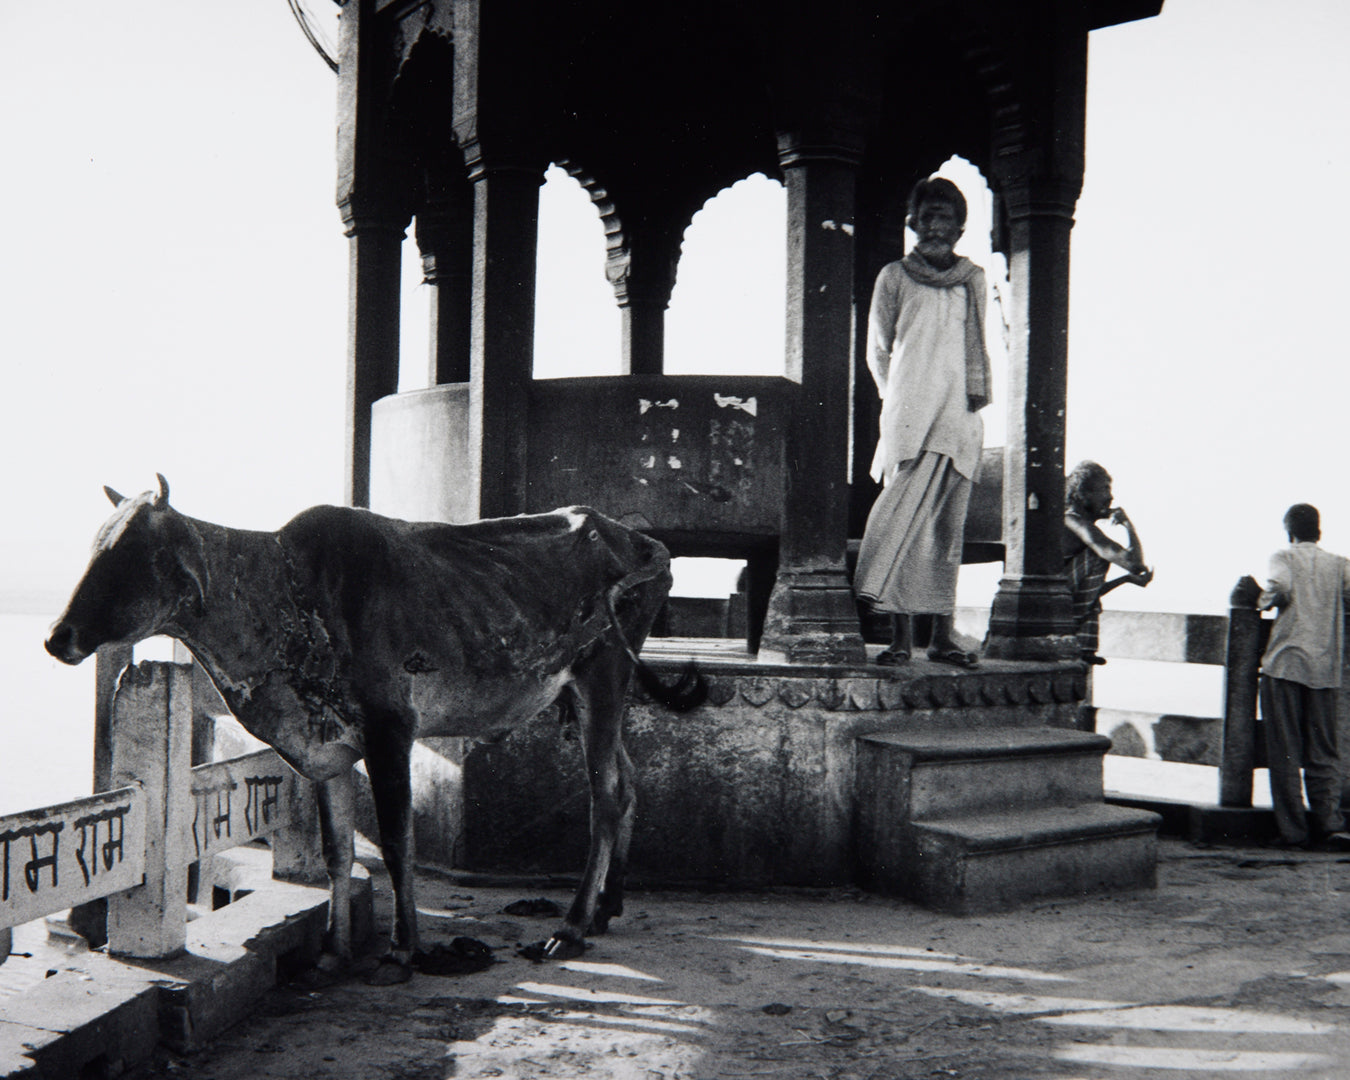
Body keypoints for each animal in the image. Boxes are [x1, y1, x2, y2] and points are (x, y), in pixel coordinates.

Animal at [44, 477, 707, 982]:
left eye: (127, 555)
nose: (57, 636)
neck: (282, 593)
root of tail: (640, 540)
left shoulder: (392, 732)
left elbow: (395, 842)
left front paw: (402, 949)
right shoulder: (326, 749)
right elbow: (338, 851)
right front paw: (335, 951)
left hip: (604, 679)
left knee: (607, 798)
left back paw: (570, 928)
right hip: (585, 698)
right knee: (628, 781)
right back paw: (605, 908)